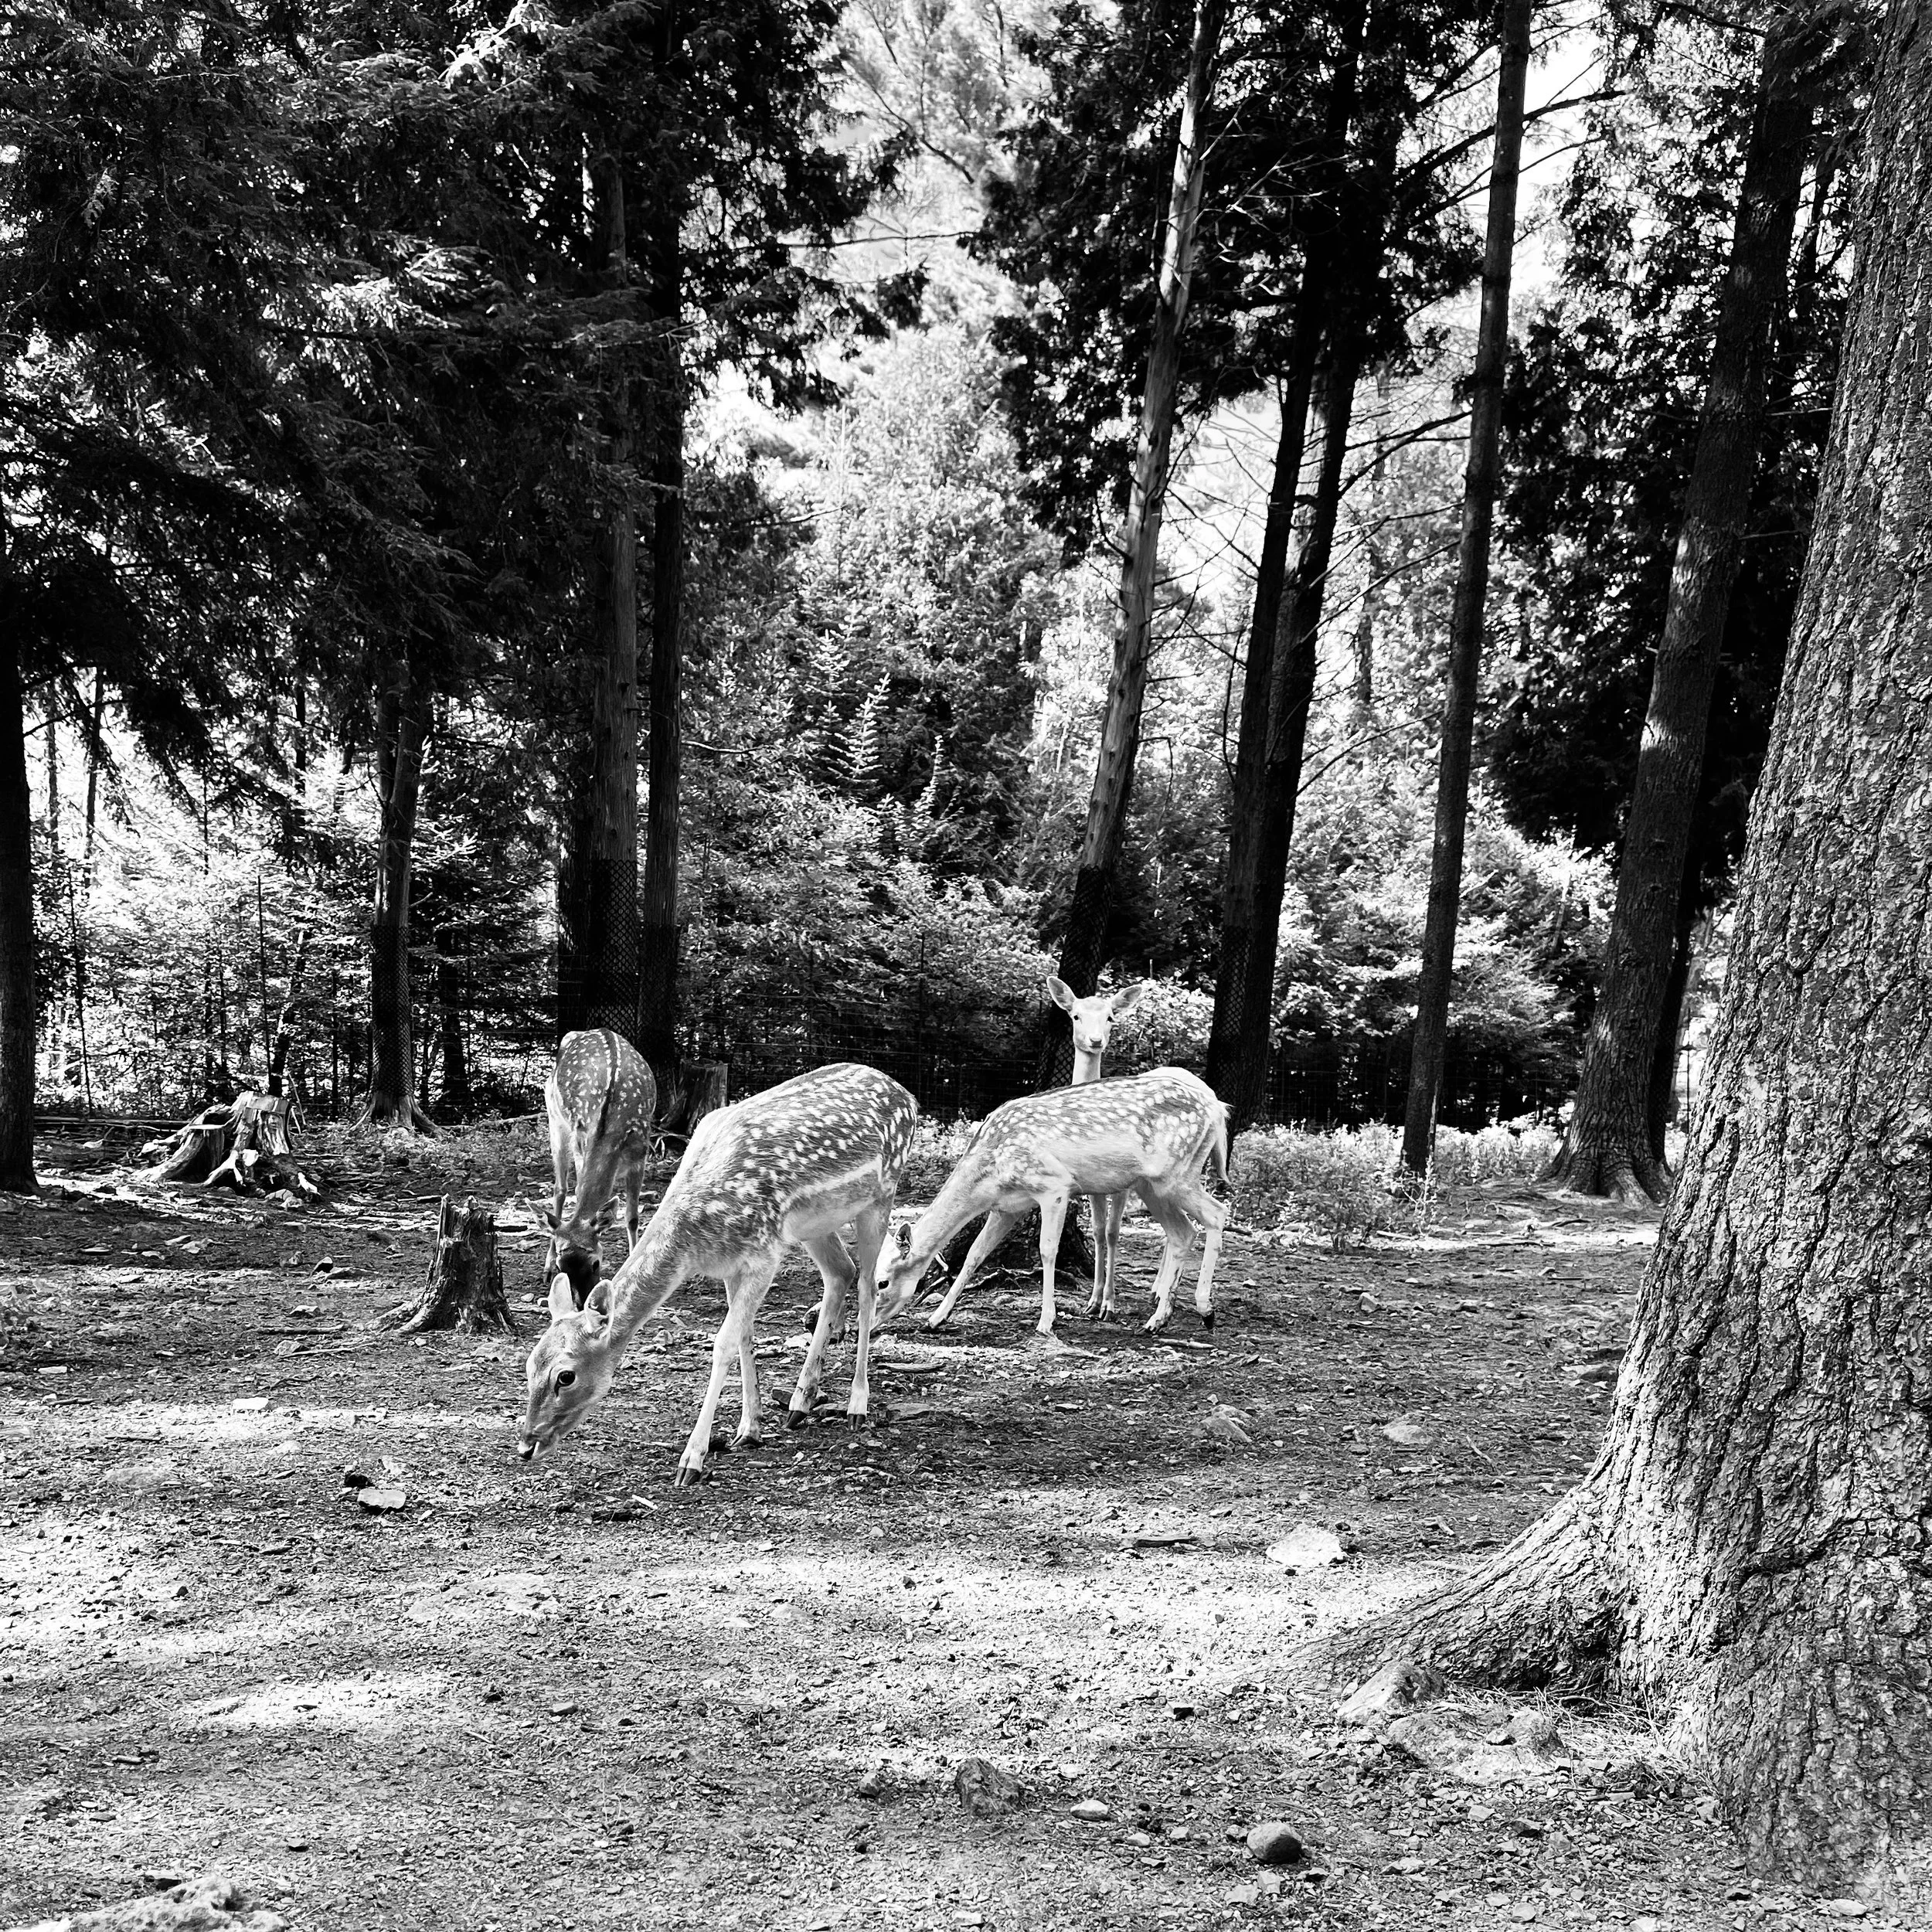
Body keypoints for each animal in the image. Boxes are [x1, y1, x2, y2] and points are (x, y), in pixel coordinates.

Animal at [519, 1062, 919, 1486]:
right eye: (529, 1365)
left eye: (565, 1376)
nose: (527, 1446)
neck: (696, 1242)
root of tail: (908, 1096)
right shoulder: (732, 1264)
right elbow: (745, 1335)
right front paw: (749, 1429)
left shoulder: (764, 1254)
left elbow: (724, 1343)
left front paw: (692, 1459)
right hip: (814, 1223)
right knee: (841, 1272)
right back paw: (800, 1401)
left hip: (882, 1194)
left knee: (867, 1287)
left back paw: (857, 1405)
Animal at [544, 1029, 660, 1308]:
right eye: (563, 1267)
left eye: (596, 1263)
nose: (582, 1302)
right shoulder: (580, 1141)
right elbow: (577, 1190)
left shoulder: (642, 1151)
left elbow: (632, 1217)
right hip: (554, 1115)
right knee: (560, 1189)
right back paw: (545, 1267)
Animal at [874, 1067, 1227, 1340]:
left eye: (883, 1282)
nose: (868, 1326)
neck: (990, 1172)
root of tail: (1217, 1110)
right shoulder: (1007, 1207)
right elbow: (975, 1254)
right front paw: (936, 1318)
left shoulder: (1055, 1185)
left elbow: (1047, 1250)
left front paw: (1046, 1321)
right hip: (1153, 1184)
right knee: (1183, 1232)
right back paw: (1158, 1319)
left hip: (1176, 1174)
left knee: (1216, 1213)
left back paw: (1205, 1309)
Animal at [1046, 974, 1148, 1320]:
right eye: (1075, 1015)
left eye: (1111, 1017)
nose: (1095, 1040)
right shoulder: (1093, 1184)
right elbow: (1098, 1231)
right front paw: (1092, 1300)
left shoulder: (1123, 1182)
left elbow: (1115, 1233)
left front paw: (1110, 1304)